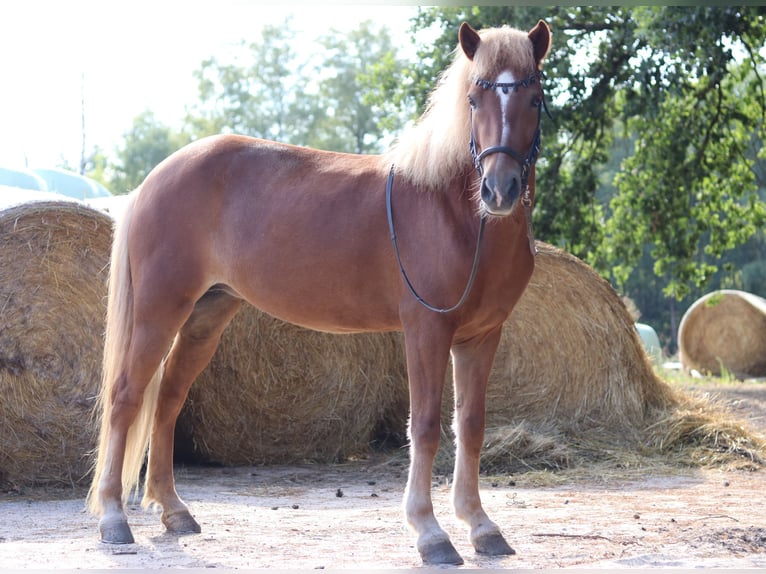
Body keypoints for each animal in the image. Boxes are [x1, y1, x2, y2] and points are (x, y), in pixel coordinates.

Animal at [88, 21, 552, 568]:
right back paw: (113, 519)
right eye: (475, 98)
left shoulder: (481, 337)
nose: (500, 190)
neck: (454, 213)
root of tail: (154, 179)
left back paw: (174, 511)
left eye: (535, 98)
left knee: (168, 400)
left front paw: (481, 526)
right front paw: (430, 533)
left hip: (206, 315)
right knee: (126, 396)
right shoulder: (427, 330)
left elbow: (472, 426)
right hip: (158, 311)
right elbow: (426, 425)